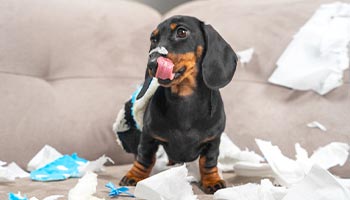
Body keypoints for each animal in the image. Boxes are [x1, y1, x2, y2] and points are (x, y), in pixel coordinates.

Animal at [115, 15, 238, 194]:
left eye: (181, 32)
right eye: (153, 39)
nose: (152, 64)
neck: (184, 100)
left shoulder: (213, 141)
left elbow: (208, 162)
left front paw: (212, 181)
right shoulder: (148, 136)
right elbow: (144, 157)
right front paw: (135, 175)